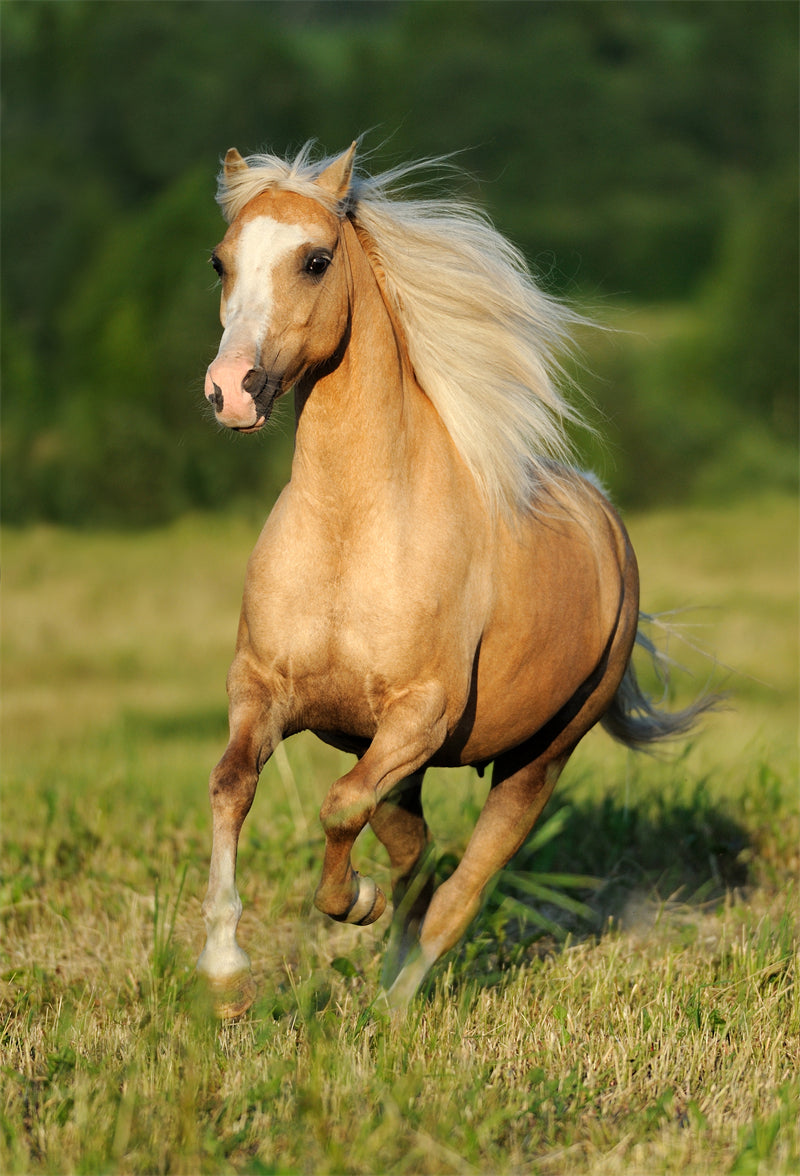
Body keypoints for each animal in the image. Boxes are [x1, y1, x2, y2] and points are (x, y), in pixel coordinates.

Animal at [195, 141, 708, 1017]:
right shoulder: (263, 692)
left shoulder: (418, 719)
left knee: (461, 887)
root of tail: (604, 516)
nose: (231, 391)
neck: (352, 532)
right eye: (222, 261)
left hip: (540, 759)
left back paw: (397, 1004)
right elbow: (233, 785)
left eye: (315, 259)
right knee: (422, 852)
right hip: (408, 767)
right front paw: (226, 971)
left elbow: (341, 805)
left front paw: (351, 902)